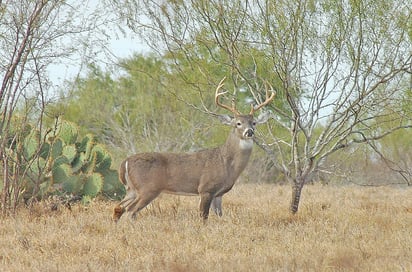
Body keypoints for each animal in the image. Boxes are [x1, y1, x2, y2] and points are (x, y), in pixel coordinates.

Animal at [112, 77, 276, 221]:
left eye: (254, 122)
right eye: (238, 123)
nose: (249, 132)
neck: (226, 162)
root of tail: (125, 162)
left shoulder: (219, 194)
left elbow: (220, 215)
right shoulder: (206, 188)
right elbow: (203, 216)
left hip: (132, 189)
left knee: (118, 208)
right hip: (147, 188)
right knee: (130, 210)